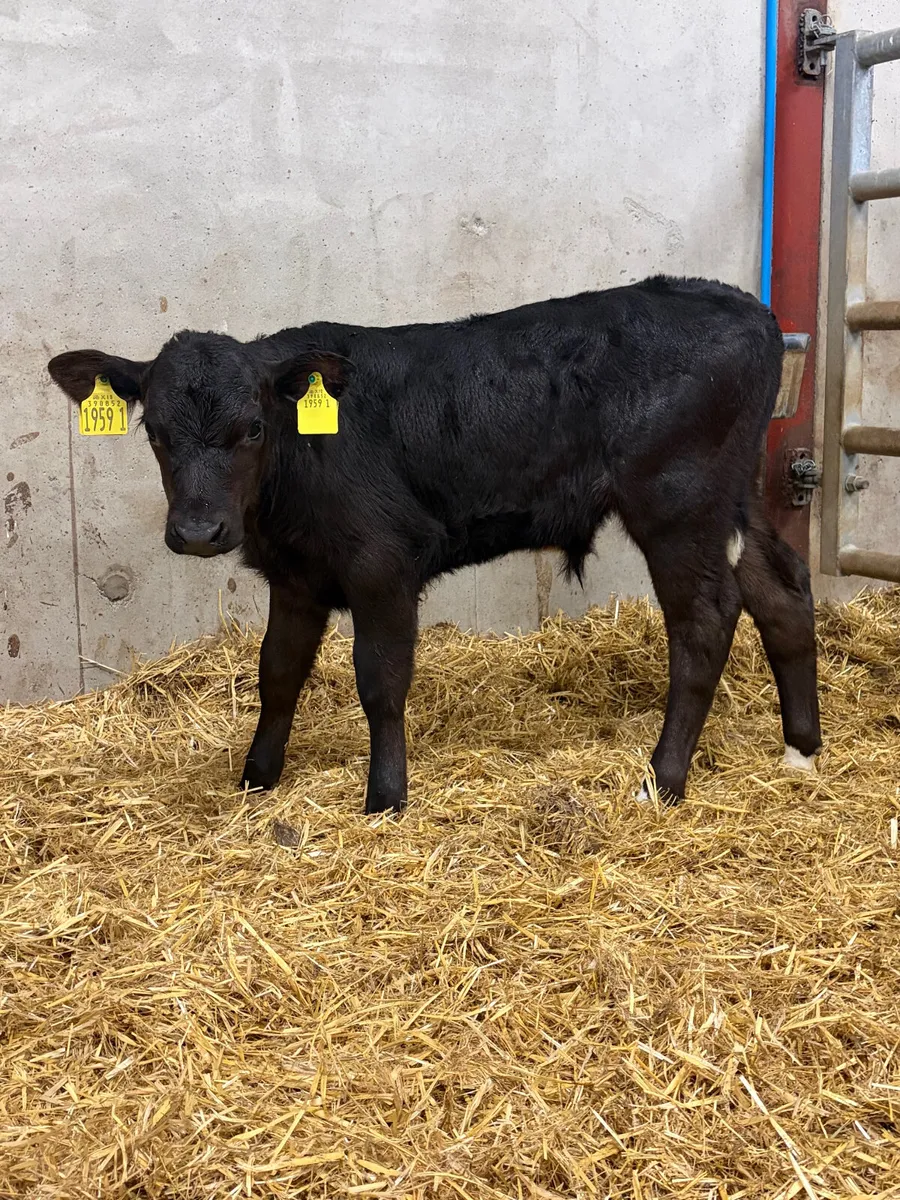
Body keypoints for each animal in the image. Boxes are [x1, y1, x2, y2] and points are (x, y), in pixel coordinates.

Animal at [48, 275, 821, 813]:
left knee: (705, 621)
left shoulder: (383, 563)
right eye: (154, 433)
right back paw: (801, 751)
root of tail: (744, 306)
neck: (304, 459)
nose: (199, 532)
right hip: (729, 499)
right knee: (780, 588)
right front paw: (256, 779)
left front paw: (385, 798)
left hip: (677, 504)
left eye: (253, 429)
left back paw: (661, 781)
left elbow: (381, 680)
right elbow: (278, 673)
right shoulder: (296, 576)